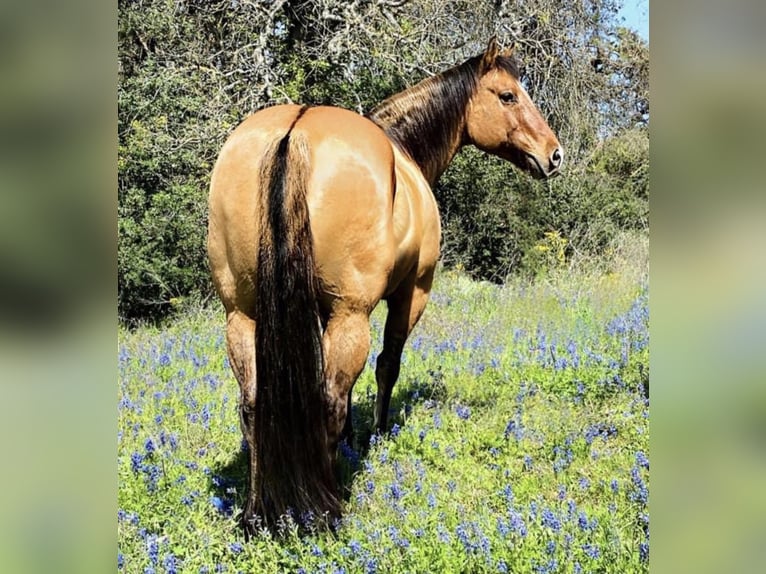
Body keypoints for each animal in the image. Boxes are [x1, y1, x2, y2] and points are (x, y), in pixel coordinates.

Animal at [208, 37, 564, 536]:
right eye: (508, 96)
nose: (555, 154)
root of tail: (293, 133)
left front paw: (354, 439)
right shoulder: (411, 292)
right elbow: (386, 366)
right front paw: (376, 433)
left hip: (242, 315)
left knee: (254, 403)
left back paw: (258, 514)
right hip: (351, 314)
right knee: (330, 399)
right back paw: (328, 506)